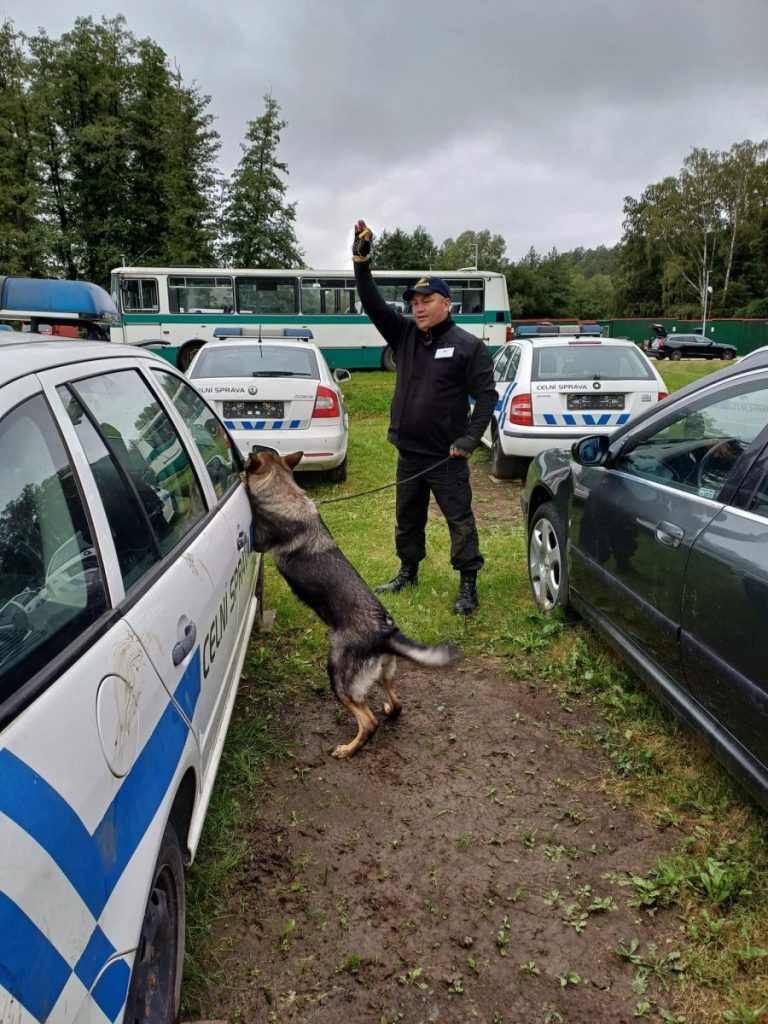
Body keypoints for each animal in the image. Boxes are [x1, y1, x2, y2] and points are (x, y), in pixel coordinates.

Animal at [243, 452, 454, 757]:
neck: (286, 493)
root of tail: (385, 632)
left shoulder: (260, 541)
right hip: (382, 674)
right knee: (397, 705)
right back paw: (389, 710)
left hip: (339, 677)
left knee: (368, 721)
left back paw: (348, 749)